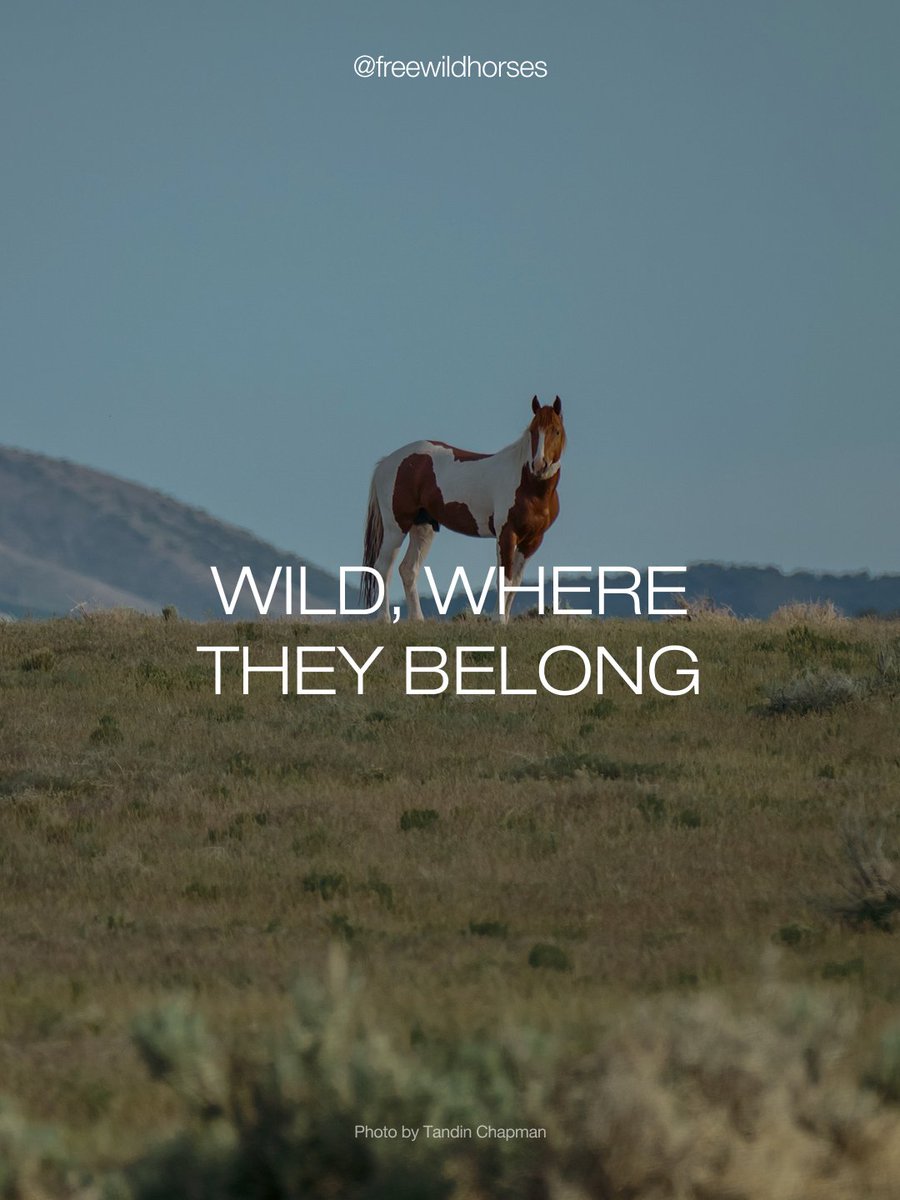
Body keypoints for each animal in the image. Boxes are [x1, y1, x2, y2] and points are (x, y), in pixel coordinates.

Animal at [361, 396, 565, 621]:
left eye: (556, 431)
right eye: (533, 431)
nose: (539, 465)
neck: (528, 485)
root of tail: (387, 462)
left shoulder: (532, 541)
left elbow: (515, 584)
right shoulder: (506, 534)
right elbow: (504, 580)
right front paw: (499, 620)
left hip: (423, 527)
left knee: (408, 569)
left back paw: (418, 619)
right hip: (396, 527)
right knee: (382, 568)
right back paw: (384, 619)